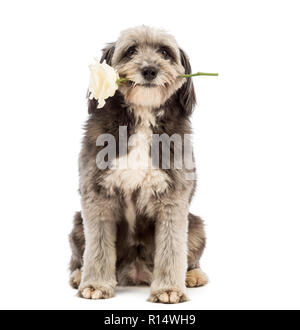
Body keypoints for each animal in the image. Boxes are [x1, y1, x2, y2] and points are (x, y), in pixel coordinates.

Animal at [69, 25, 207, 304]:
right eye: (131, 51)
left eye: (165, 52)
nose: (150, 70)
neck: (142, 116)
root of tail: (136, 272)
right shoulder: (97, 196)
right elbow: (97, 246)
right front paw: (95, 284)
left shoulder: (173, 200)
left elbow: (172, 248)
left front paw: (168, 289)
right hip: (77, 224)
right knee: (78, 257)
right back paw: (79, 275)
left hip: (196, 225)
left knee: (191, 256)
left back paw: (193, 276)